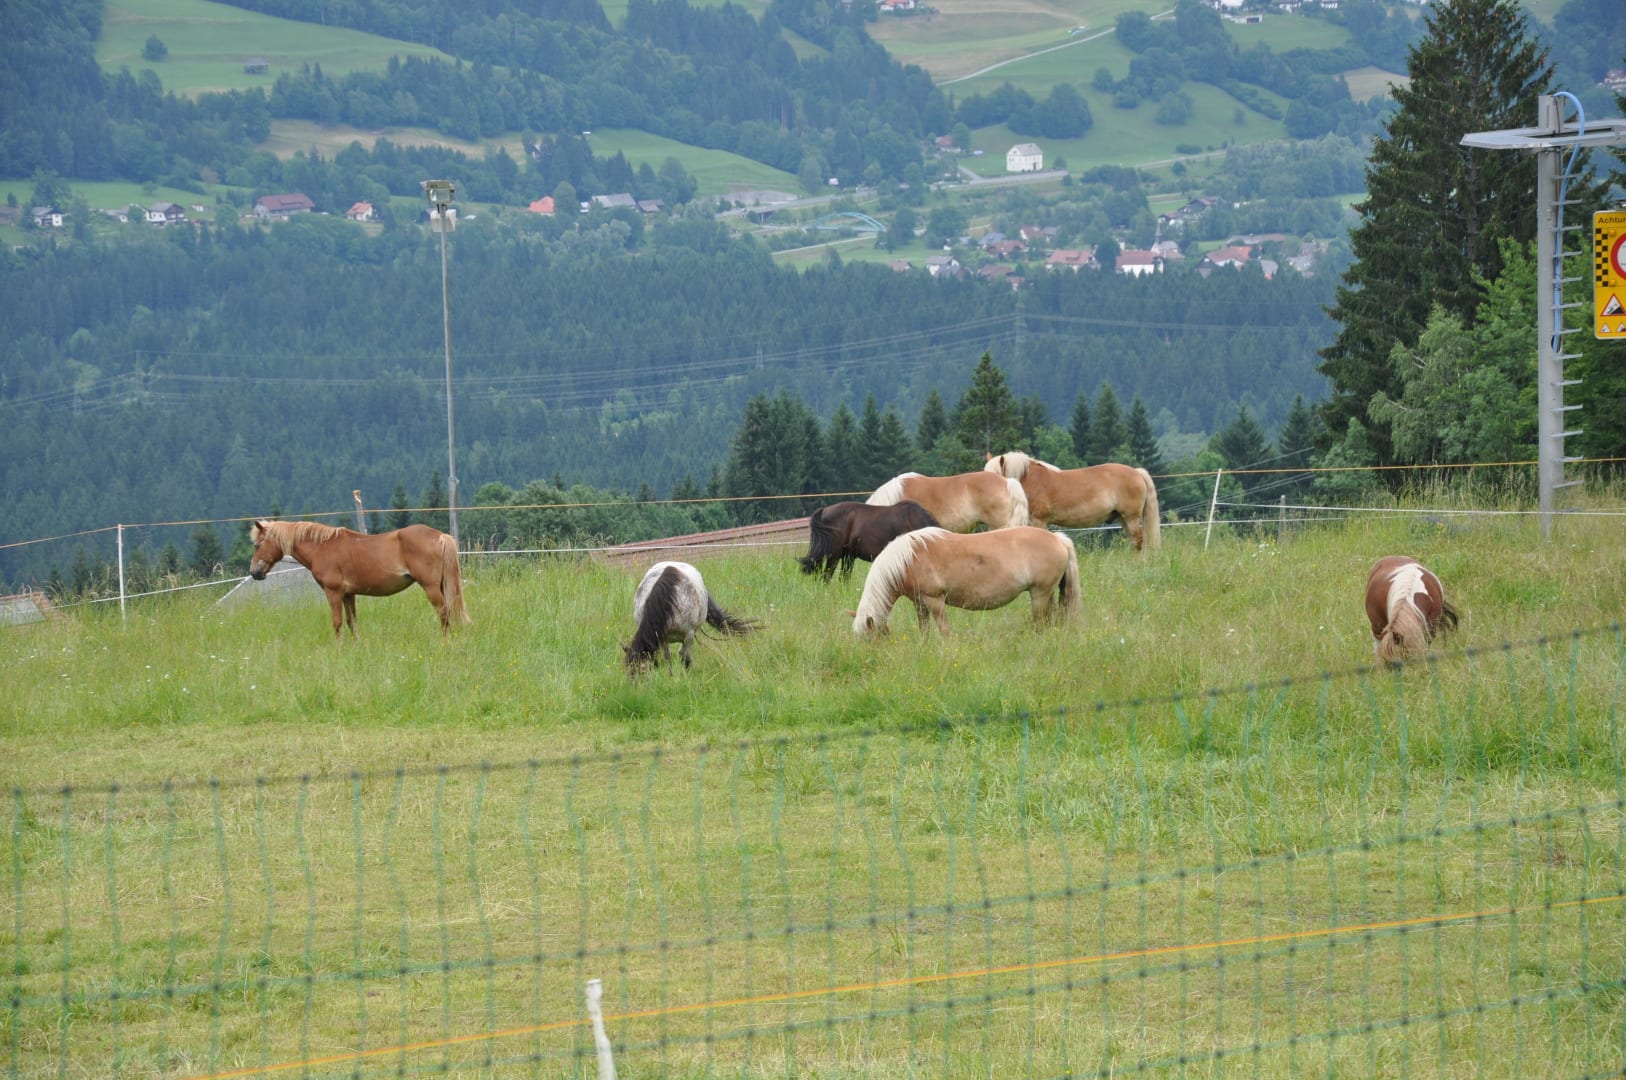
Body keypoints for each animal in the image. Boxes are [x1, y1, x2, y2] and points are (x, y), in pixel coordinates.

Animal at [247, 519, 470, 639]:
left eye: (257, 545)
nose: (254, 572)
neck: (322, 547)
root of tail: (439, 536)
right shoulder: (348, 595)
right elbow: (351, 621)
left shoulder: (334, 593)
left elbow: (337, 622)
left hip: (431, 587)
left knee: (443, 611)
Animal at [852, 526, 1080, 638]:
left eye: (870, 639)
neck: (908, 558)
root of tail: (1058, 539)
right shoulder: (920, 603)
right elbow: (924, 630)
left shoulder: (935, 600)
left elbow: (944, 630)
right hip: (1047, 595)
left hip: (1040, 594)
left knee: (1040, 624)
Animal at [983, 451, 1161, 552]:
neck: (1030, 480)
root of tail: (1137, 472)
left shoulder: (1039, 520)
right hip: (1123, 518)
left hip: (1131, 517)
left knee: (1138, 541)